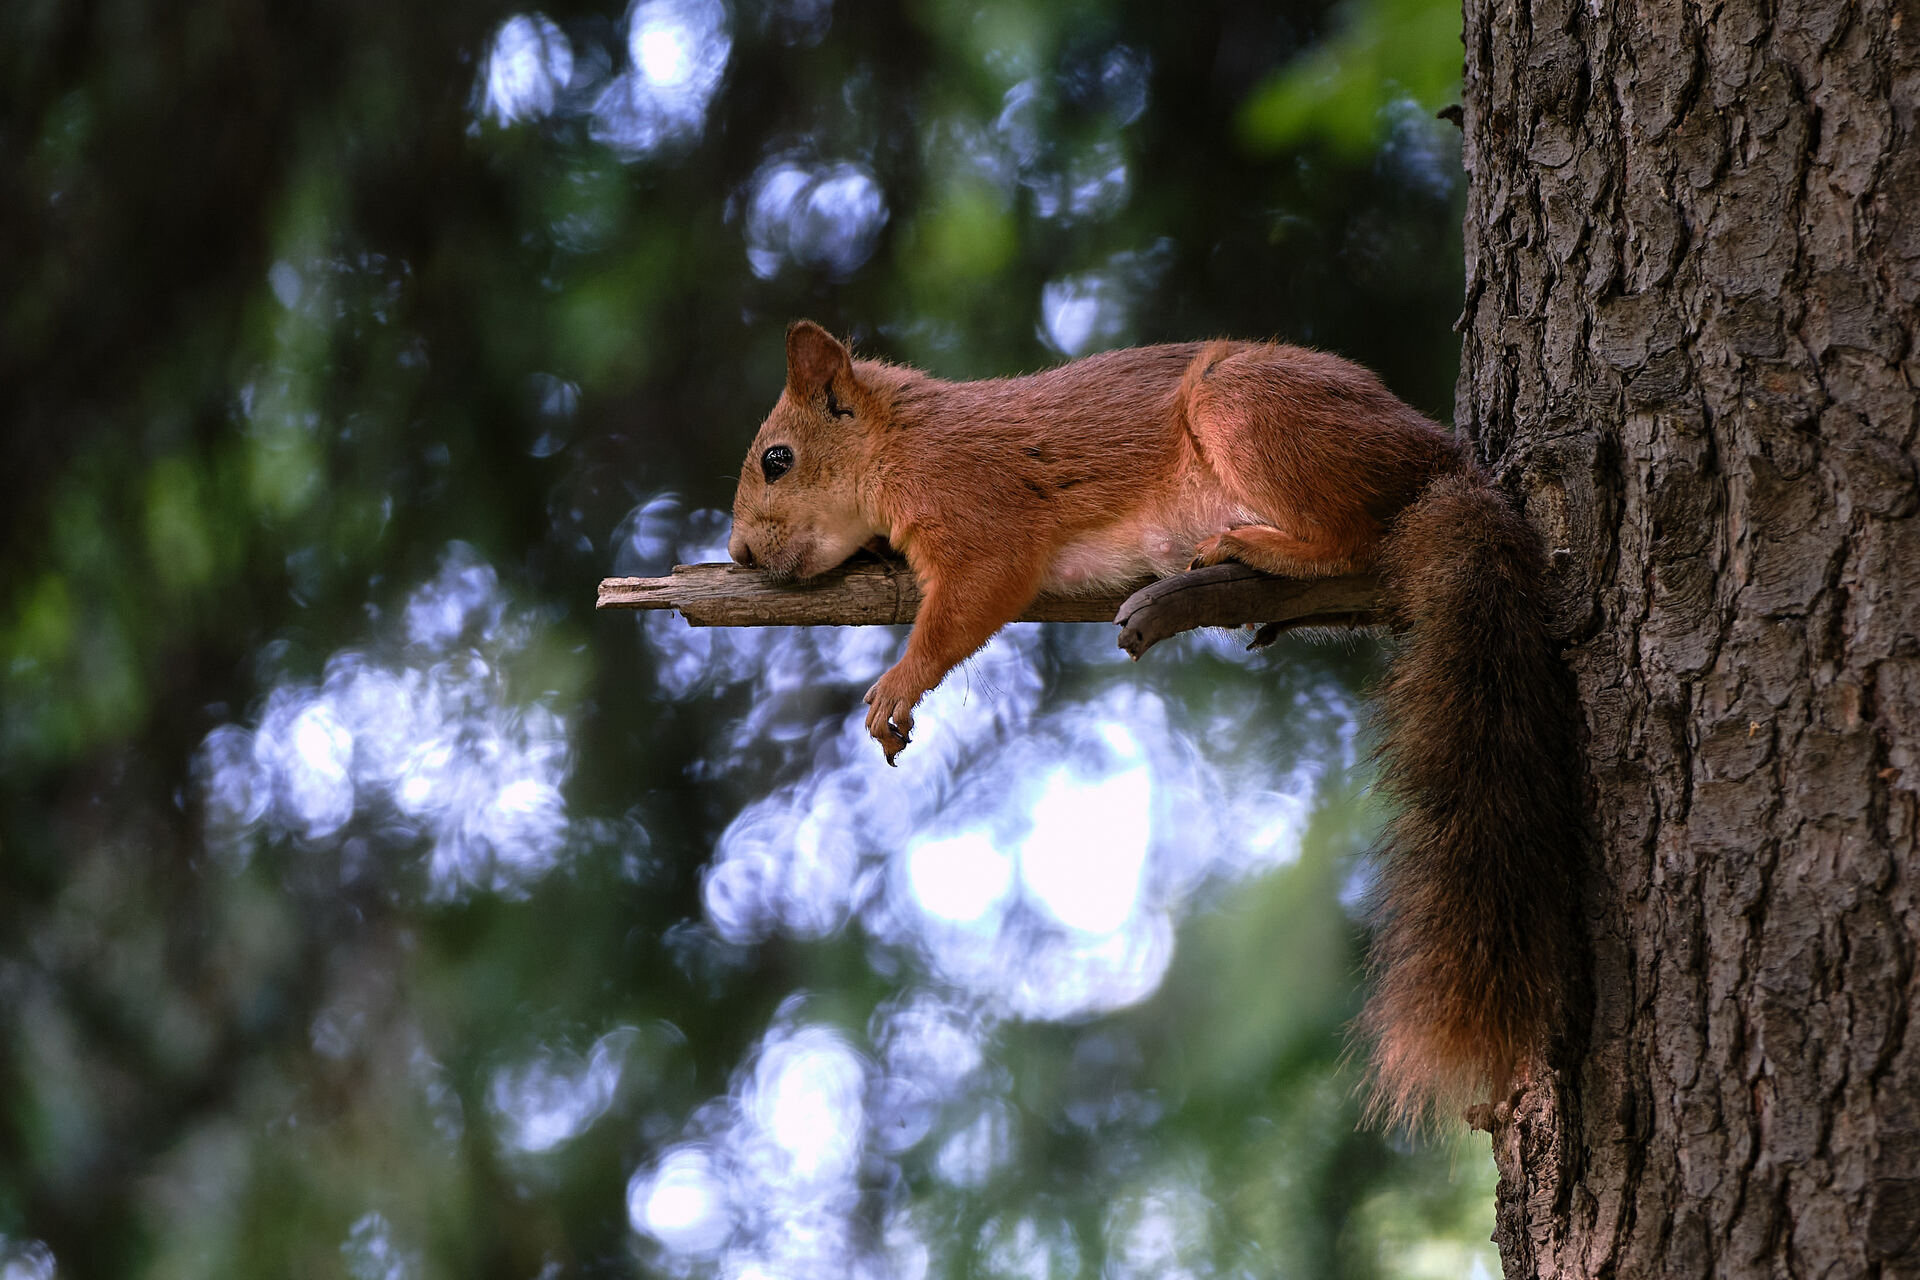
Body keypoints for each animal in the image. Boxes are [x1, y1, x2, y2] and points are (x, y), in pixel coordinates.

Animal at [725, 322, 1582, 1128]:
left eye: (777, 460)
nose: (737, 553)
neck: (900, 436)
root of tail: (1444, 462)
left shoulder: (974, 503)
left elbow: (976, 594)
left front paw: (899, 683)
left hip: (1249, 408)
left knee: (1355, 538)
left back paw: (1258, 543)